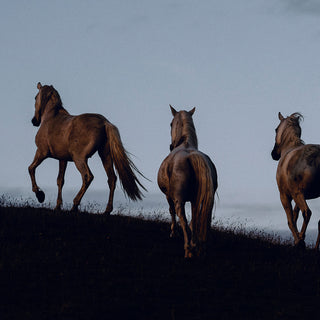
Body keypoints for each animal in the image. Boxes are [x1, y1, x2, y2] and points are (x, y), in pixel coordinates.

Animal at [28, 82, 146, 214]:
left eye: (35, 97)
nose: (34, 121)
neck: (51, 118)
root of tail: (104, 122)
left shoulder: (41, 152)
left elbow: (31, 168)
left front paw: (40, 195)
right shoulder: (62, 159)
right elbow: (60, 180)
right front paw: (57, 205)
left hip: (79, 159)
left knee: (87, 177)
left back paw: (75, 205)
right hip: (105, 156)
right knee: (112, 179)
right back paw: (107, 210)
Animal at [158, 105, 218, 258]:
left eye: (171, 123)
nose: (171, 145)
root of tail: (191, 157)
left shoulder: (169, 195)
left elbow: (172, 211)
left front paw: (173, 232)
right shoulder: (194, 199)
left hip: (179, 199)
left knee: (182, 218)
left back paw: (188, 249)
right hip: (202, 200)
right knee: (199, 219)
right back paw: (198, 246)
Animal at [272, 112, 320, 250]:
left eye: (276, 129)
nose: (274, 154)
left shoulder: (285, 195)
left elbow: (290, 219)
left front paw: (299, 240)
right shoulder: (298, 196)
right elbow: (295, 215)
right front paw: (298, 238)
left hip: (298, 194)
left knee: (307, 213)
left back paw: (302, 242)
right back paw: (315, 248)